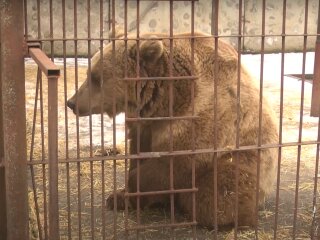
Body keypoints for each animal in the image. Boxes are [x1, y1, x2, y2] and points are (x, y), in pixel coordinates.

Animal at [67, 31, 278, 228]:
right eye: (90, 73)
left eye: (96, 77)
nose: (72, 102)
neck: (169, 99)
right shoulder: (145, 124)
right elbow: (138, 152)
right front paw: (118, 197)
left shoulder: (202, 119)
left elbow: (173, 163)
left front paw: (133, 190)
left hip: (248, 159)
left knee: (217, 194)